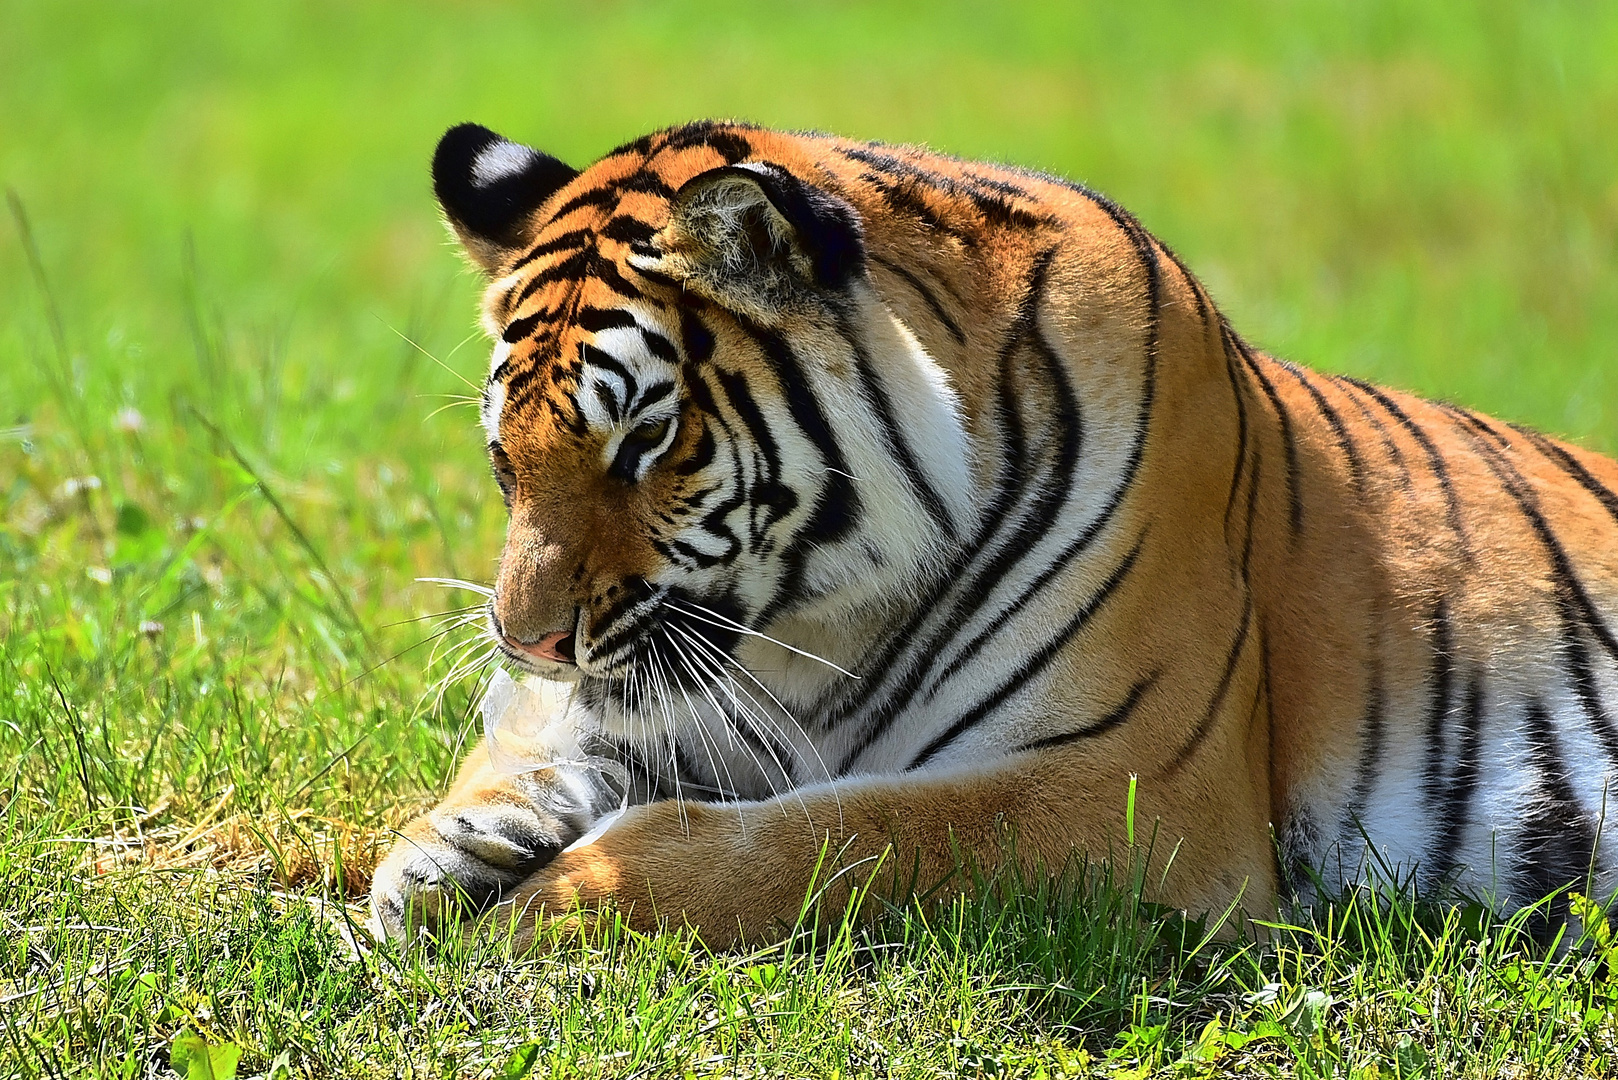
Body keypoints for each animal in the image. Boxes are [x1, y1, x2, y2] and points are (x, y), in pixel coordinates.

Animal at [370, 116, 1618, 945]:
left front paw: (553, 898)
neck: (818, 628)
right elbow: (544, 747)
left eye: (644, 443)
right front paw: (437, 852)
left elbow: (836, 837)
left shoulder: (1134, 789)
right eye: (505, 459)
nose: (527, 642)